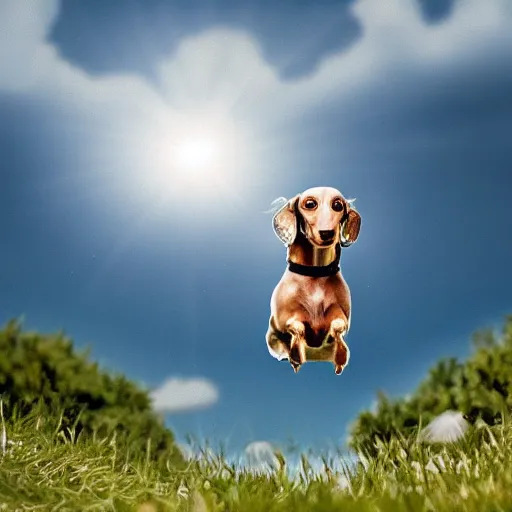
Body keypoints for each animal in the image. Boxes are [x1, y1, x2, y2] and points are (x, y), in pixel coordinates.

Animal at [266, 186, 362, 374]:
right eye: (310, 204)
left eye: (338, 205)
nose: (327, 233)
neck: (315, 276)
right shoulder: (285, 320)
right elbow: (296, 326)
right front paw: (296, 355)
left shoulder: (341, 316)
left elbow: (338, 325)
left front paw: (341, 355)